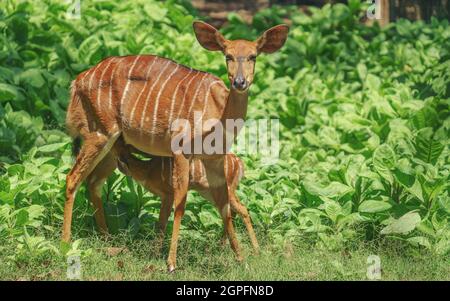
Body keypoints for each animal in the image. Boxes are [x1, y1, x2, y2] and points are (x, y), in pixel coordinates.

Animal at [64, 21, 288, 270]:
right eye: (227, 55)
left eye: (253, 56)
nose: (239, 82)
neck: (216, 113)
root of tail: (77, 81)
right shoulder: (181, 151)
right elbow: (180, 204)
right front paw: (171, 262)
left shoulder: (215, 160)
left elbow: (224, 208)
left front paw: (242, 259)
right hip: (99, 133)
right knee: (72, 178)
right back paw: (66, 244)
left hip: (112, 146)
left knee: (93, 183)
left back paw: (106, 239)